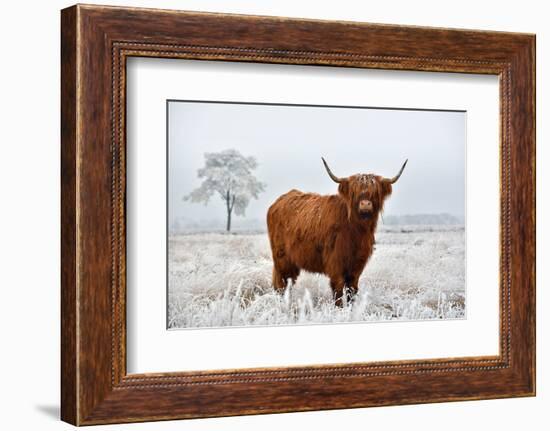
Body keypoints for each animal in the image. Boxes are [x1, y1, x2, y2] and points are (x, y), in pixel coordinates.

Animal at [268, 159, 410, 308]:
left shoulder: (357, 266)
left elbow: (352, 290)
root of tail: (278, 202)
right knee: (282, 284)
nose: (365, 204)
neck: (356, 232)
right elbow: (338, 291)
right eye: (354, 192)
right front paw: (340, 309)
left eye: (375, 192)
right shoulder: (335, 263)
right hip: (282, 258)